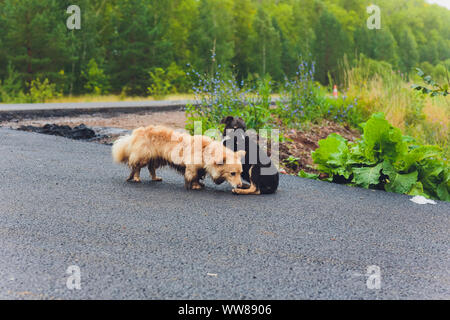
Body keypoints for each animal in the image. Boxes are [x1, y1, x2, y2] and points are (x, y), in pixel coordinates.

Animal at [112, 124, 246, 190]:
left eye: (241, 173)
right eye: (232, 173)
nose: (240, 186)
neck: (205, 150)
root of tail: (137, 132)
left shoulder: (201, 167)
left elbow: (199, 175)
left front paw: (199, 184)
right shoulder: (192, 166)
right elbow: (193, 176)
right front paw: (196, 186)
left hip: (156, 158)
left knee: (151, 168)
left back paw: (155, 178)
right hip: (144, 155)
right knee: (137, 167)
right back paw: (136, 178)